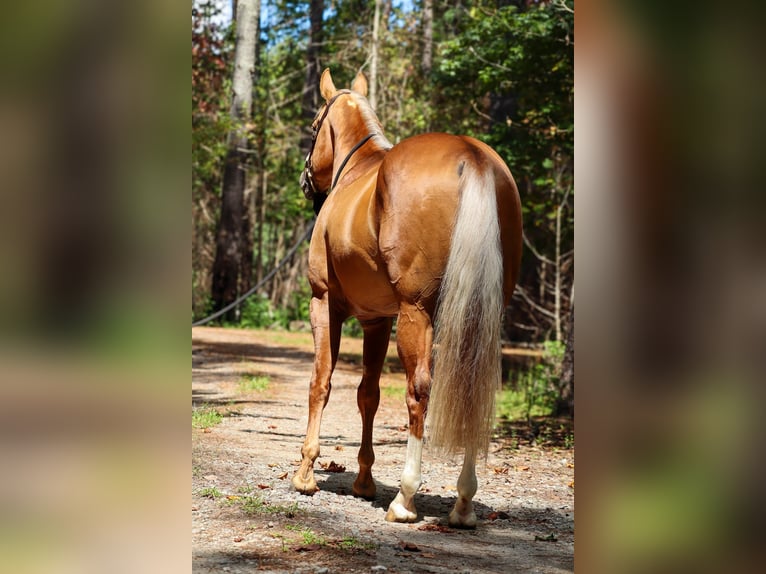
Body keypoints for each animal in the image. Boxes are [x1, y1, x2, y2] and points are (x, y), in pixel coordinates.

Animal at [293, 68, 522, 528]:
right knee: (472, 391)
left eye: (313, 126)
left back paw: (405, 498)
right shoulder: (377, 319)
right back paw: (463, 504)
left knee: (419, 390)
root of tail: (473, 156)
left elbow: (321, 382)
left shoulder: (323, 303)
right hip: (477, 316)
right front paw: (363, 481)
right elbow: (368, 394)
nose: (306, 180)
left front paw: (306, 473)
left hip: (417, 313)